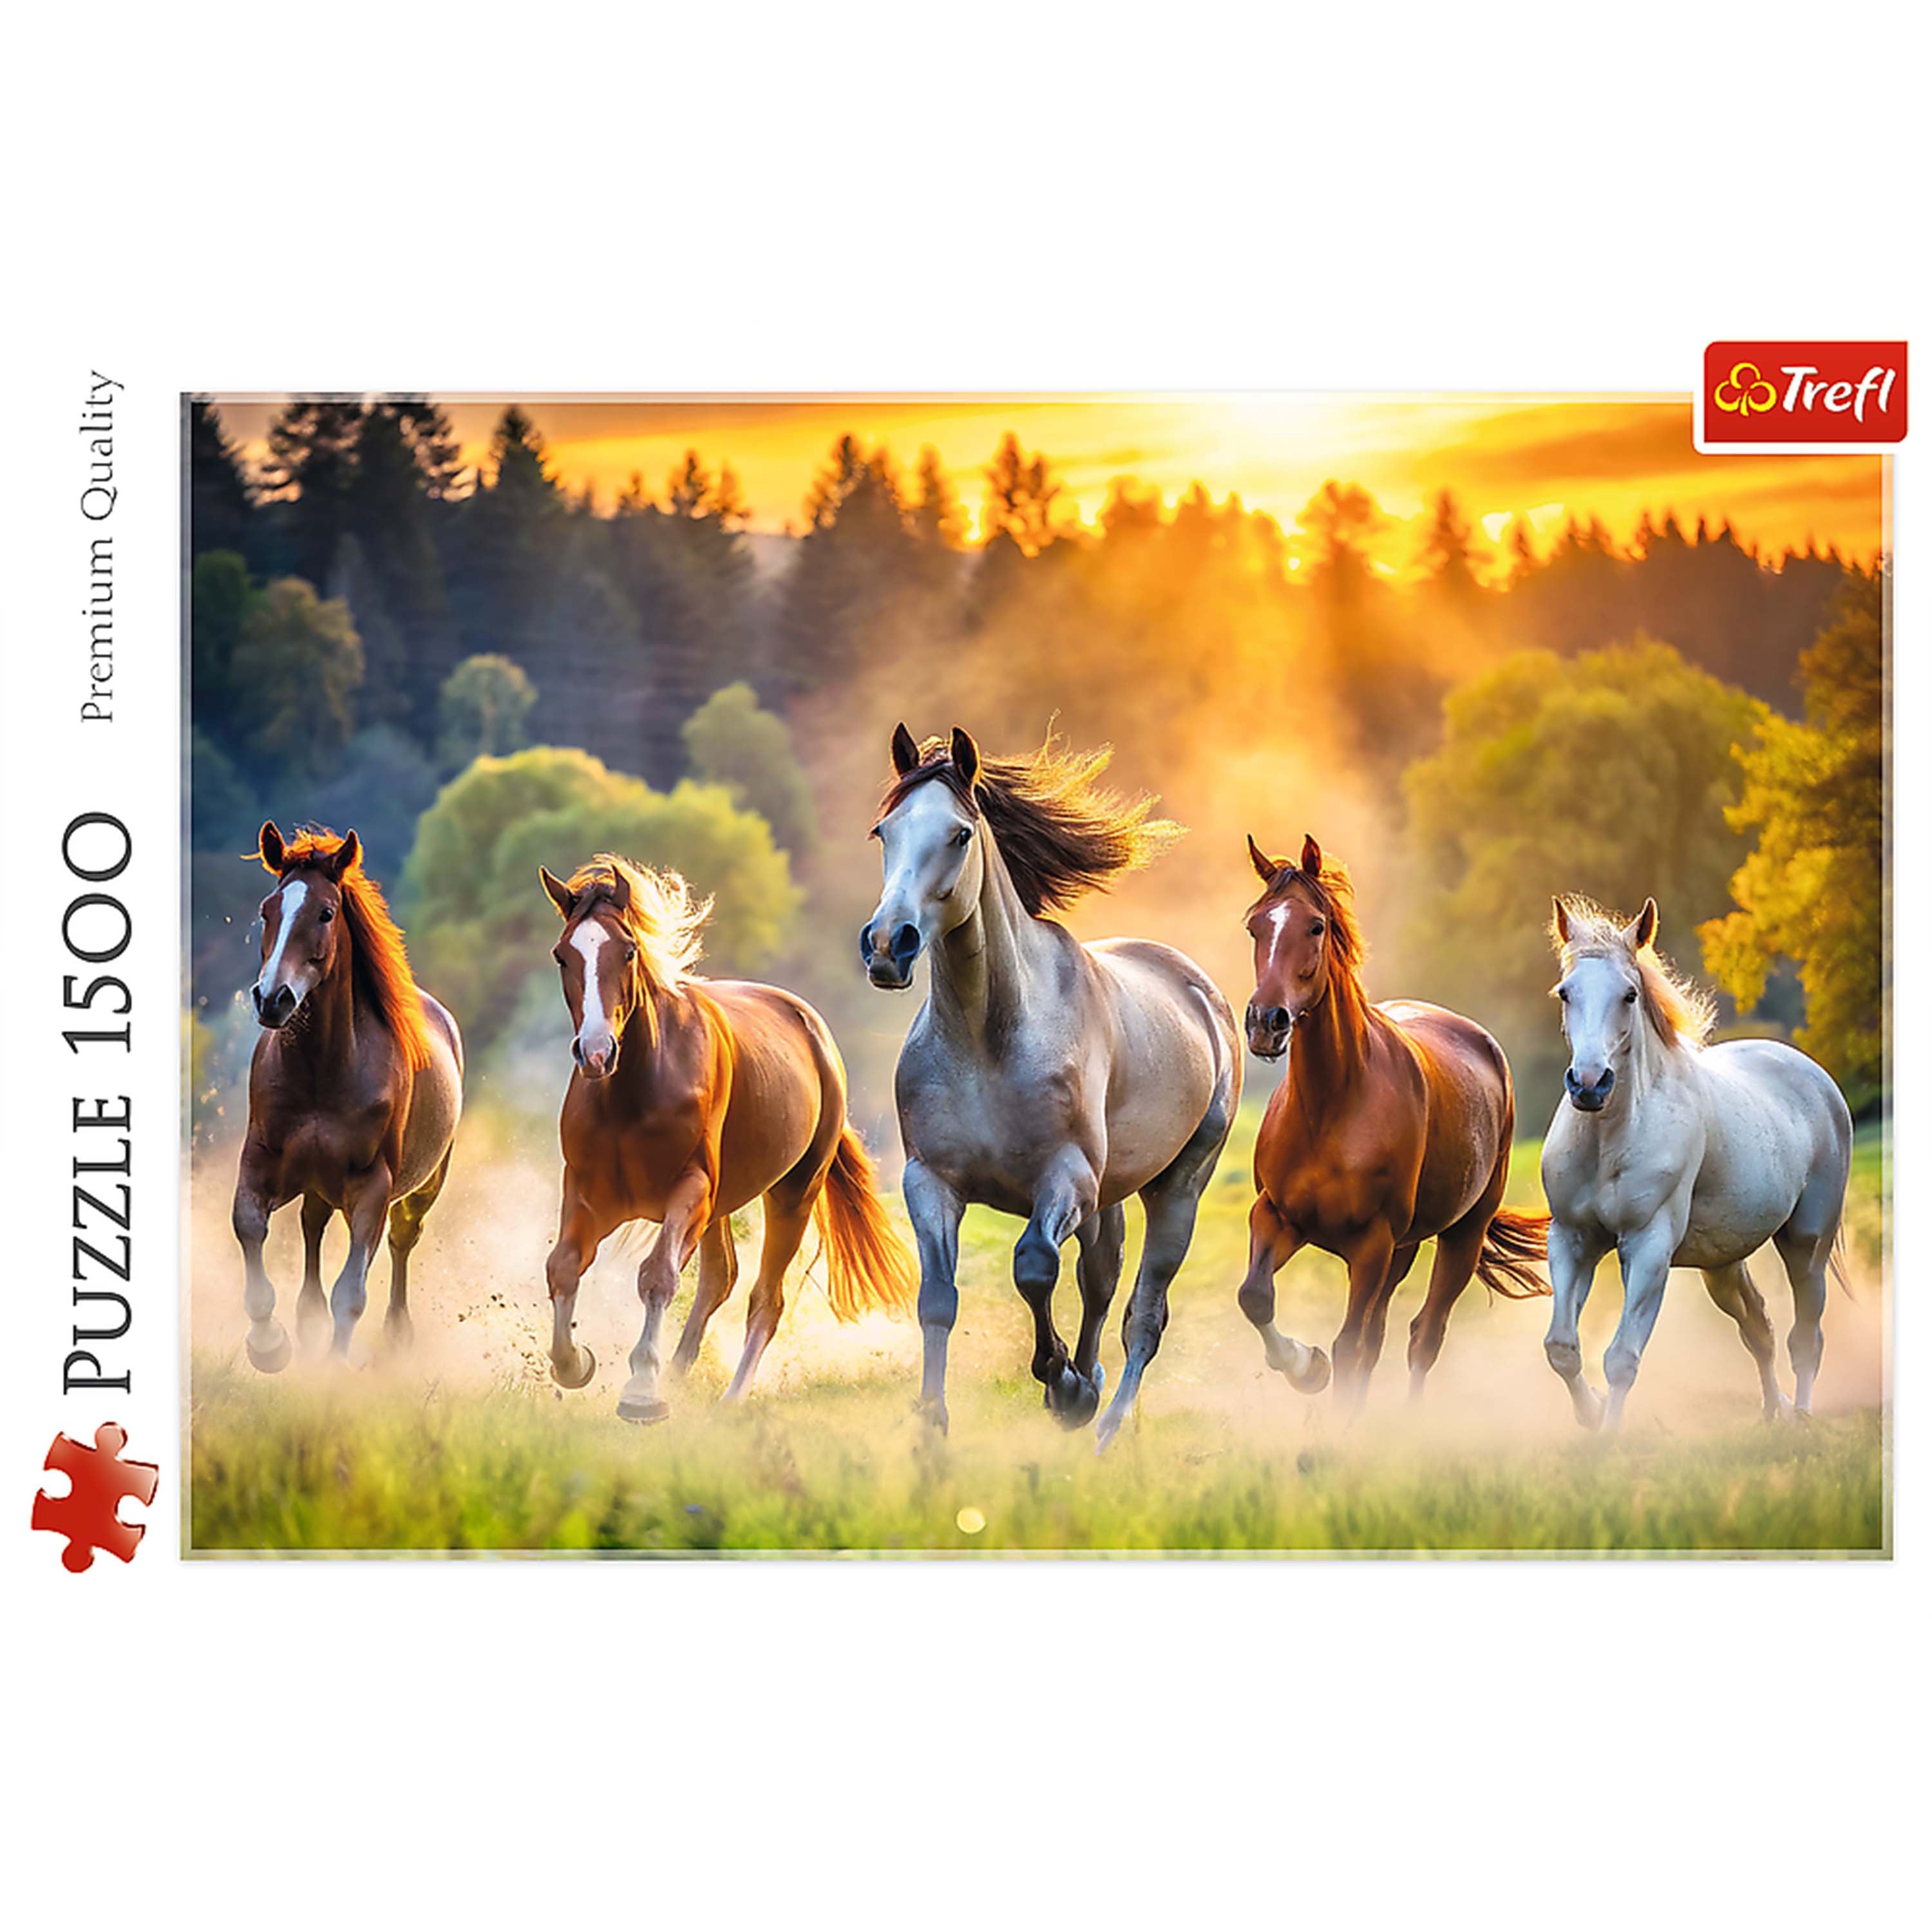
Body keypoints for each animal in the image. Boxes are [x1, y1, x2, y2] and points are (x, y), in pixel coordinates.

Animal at [231, 823, 464, 1370]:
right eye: (267, 910)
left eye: (325, 912)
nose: (272, 999)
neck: (324, 1071)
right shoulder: (260, 1159)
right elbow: (249, 1229)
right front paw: (269, 1344)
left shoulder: (372, 1188)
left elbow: (352, 1291)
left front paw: (334, 1369)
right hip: (317, 1183)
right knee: (312, 1225)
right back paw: (306, 1321)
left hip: (422, 1187)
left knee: (401, 1241)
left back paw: (397, 1334)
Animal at [539, 855, 915, 1422]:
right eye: (563, 955)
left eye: (628, 951)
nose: (598, 1052)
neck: (634, 1092)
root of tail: (816, 1033)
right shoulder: (588, 1193)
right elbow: (563, 1267)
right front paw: (576, 1363)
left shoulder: (689, 1191)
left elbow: (658, 1275)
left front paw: (641, 1392)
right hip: (719, 1207)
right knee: (721, 1278)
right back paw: (678, 1375)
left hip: (790, 1196)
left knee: (765, 1299)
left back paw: (730, 1397)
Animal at [861, 725, 1241, 1451]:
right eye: (883, 831)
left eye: (959, 834)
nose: (888, 946)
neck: (990, 1040)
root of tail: (1201, 991)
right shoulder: (931, 1181)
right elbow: (938, 1300)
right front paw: (932, 1428)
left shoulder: (1065, 1180)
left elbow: (1033, 1265)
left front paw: (1061, 1383)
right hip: (1110, 1197)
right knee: (1102, 1281)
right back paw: (1090, 1386)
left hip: (1177, 1186)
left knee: (1144, 1313)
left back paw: (1105, 1423)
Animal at [1233, 833, 1548, 1413]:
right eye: (1256, 926)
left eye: (1316, 925)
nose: (1267, 1023)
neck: (1331, 1107)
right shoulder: (1277, 1217)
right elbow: (1256, 1298)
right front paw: (1307, 1368)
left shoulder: (1371, 1245)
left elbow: (1349, 1342)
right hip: (1405, 1249)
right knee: (1382, 1335)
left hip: (1460, 1236)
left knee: (1424, 1334)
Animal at [1540, 896, 1852, 1430]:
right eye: (1566, 993)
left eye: (1629, 995)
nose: (1590, 1084)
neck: (1610, 1139)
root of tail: (1812, 1074)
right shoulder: (1572, 1239)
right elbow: (1562, 1347)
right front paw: (1592, 1414)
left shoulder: (1648, 1247)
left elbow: (1622, 1357)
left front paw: (1607, 1437)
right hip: (1723, 1264)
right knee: (1759, 1329)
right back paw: (1773, 1412)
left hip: (1807, 1244)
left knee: (1805, 1337)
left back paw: (1801, 1417)